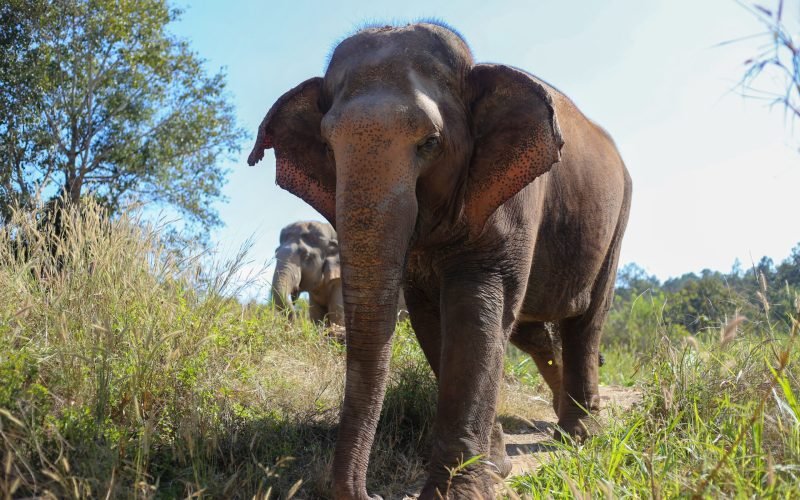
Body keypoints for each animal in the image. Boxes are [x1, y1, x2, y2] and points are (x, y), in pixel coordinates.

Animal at [249, 22, 632, 499]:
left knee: (586, 321)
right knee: (534, 333)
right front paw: (495, 468)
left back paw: (579, 435)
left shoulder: (515, 197)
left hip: (617, 219)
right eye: (327, 145)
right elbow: (432, 320)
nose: (373, 492)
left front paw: (461, 489)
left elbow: (476, 311)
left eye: (430, 142)